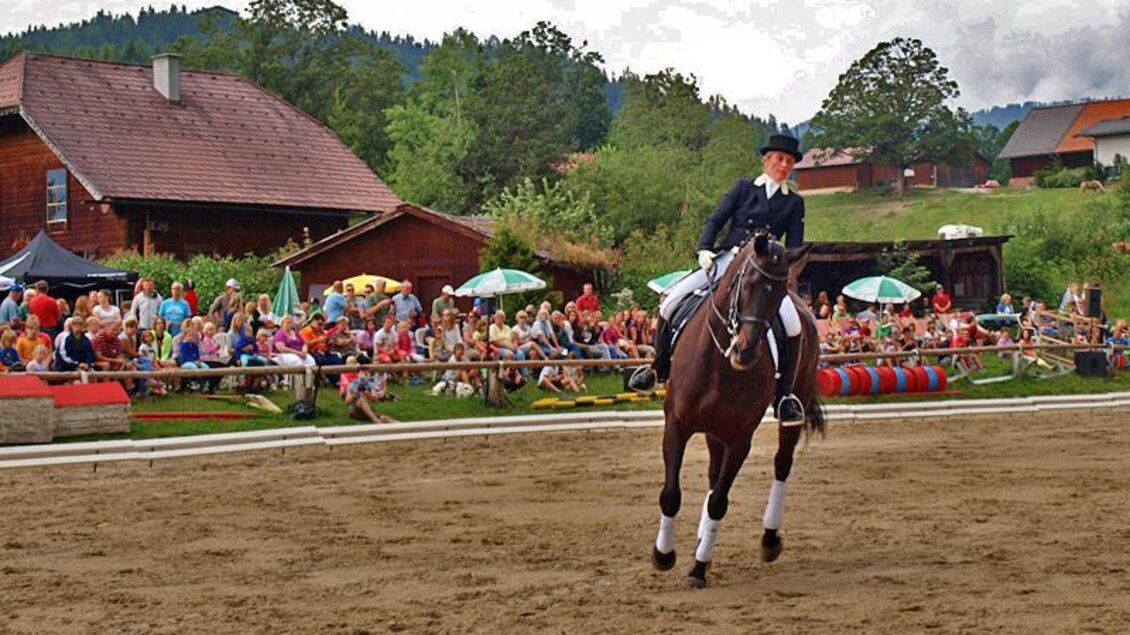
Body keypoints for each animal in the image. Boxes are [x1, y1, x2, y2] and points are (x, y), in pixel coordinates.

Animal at [650, 231, 825, 588]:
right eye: (748, 284)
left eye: (779, 292)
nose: (745, 352)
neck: (718, 363)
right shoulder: (676, 424)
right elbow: (672, 494)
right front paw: (664, 555)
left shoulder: (740, 440)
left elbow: (719, 502)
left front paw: (698, 568)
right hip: (713, 431)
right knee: (713, 475)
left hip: (788, 410)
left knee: (781, 464)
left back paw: (768, 540)